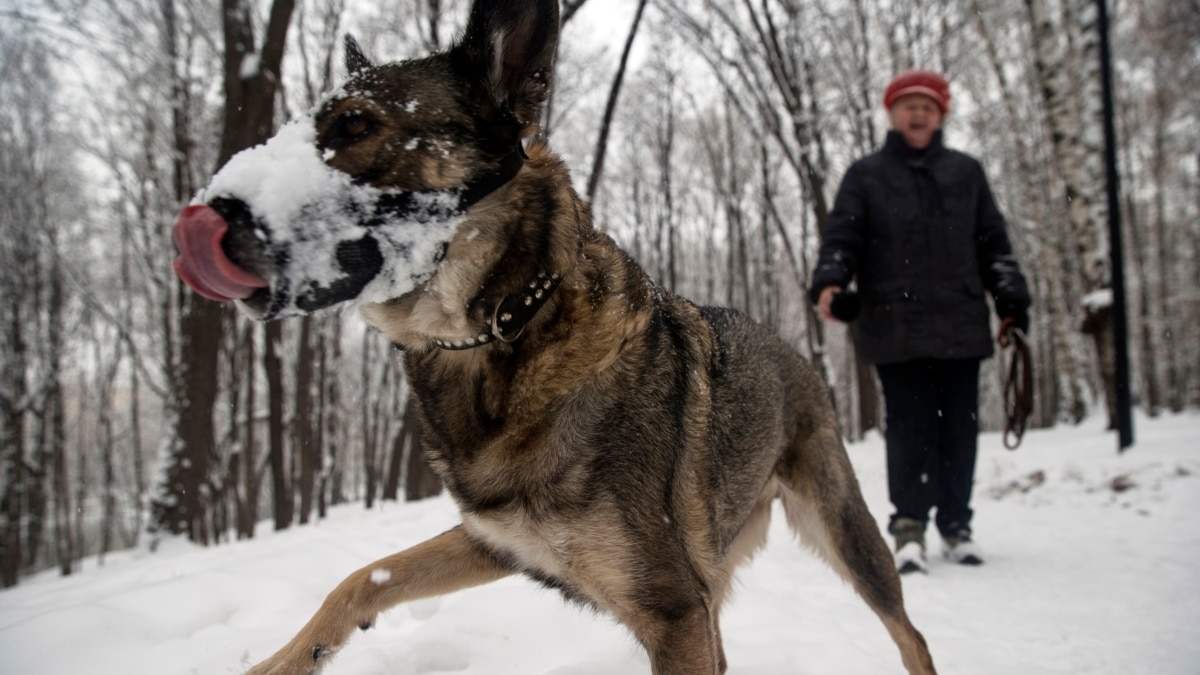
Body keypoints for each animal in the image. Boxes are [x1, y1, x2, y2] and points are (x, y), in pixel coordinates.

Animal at [171, 0, 936, 667]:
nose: (205, 213)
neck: (506, 330)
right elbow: (364, 577)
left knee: (911, 634)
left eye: (356, 124)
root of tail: (792, 348)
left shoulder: (674, 611)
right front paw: (282, 662)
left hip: (845, 534)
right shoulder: (499, 542)